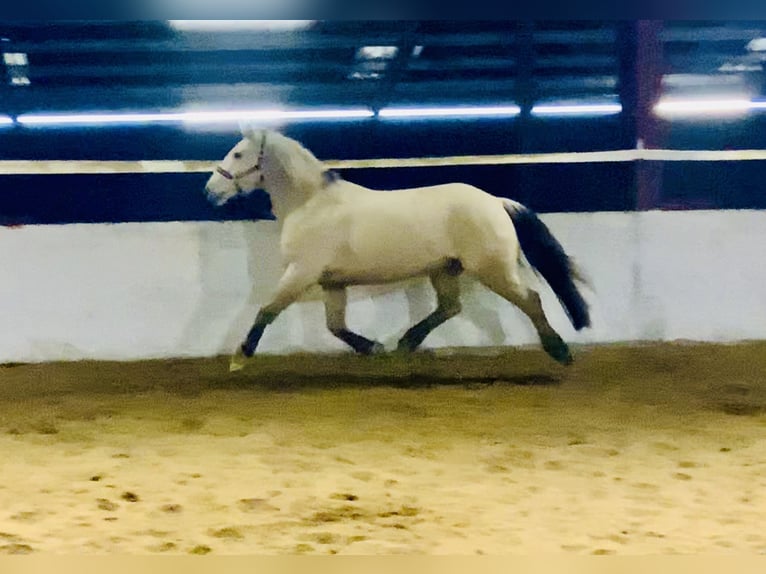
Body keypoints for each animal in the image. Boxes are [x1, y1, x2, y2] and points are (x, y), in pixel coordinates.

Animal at [204, 129, 591, 372]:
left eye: (238, 153)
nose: (209, 191)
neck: (311, 204)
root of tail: (496, 202)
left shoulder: (302, 272)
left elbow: (267, 311)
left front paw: (239, 357)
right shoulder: (332, 283)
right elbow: (335, 327)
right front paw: (374, 348)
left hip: (492, 270)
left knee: (530, 300)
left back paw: (560, 352)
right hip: (445, 269)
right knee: (450, 307)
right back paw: (406, 343)